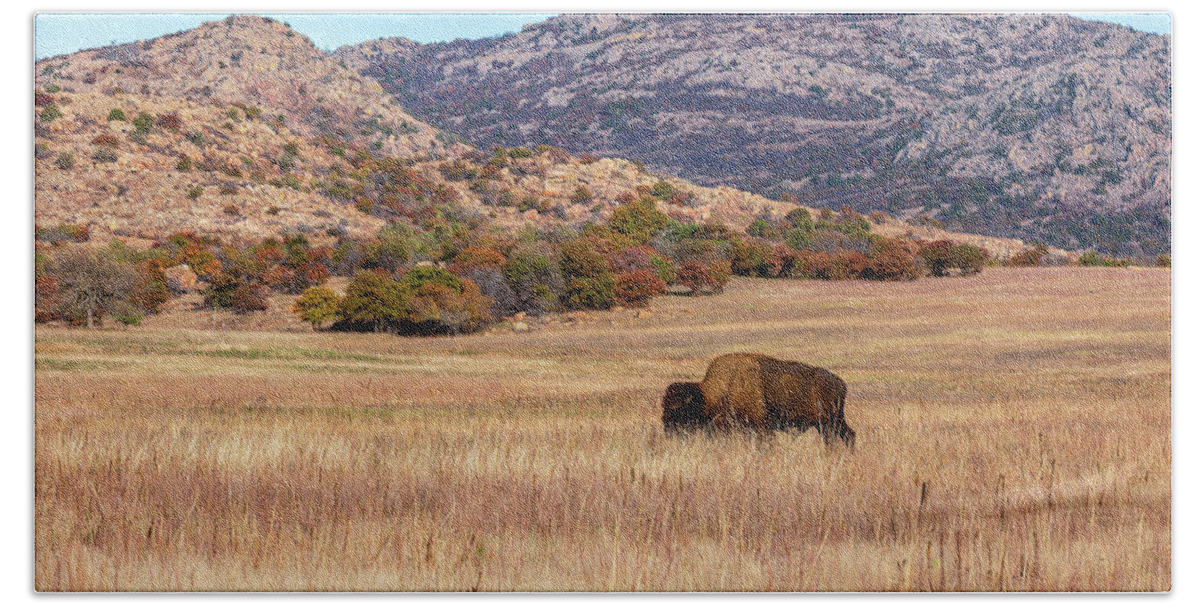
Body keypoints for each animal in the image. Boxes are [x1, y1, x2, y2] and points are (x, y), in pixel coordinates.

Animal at [700, 352, 859, 448]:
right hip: (828, 423)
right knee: (848, 435)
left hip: (830, 422)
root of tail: (840, 383)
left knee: (841, 437)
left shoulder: (762, 428)